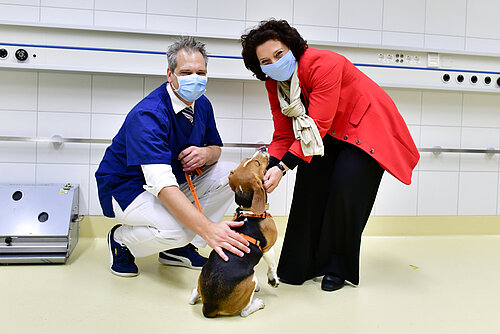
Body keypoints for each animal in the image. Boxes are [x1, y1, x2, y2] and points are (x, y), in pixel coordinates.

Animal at [188, 149, 280, 318]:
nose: (263, 148)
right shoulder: (268, 248)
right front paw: (273, 280)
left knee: (192, 298)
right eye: (257, 163)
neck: (249, 210)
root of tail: (209, 307)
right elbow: (272, 265)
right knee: (244, 312)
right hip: (250, 281)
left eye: (247, 160)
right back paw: (257, 303)